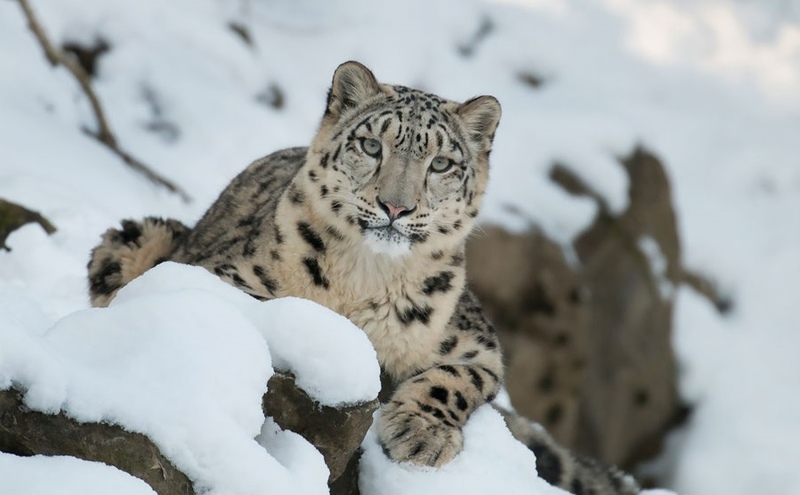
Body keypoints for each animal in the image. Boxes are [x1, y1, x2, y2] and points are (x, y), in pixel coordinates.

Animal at [87, 61, 639, 495]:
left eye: (441, 162)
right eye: (372, 146)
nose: (396, 206)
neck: (367, 279)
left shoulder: (478, 344)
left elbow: (456, 380)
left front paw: (421, 435)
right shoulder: (221, 275)